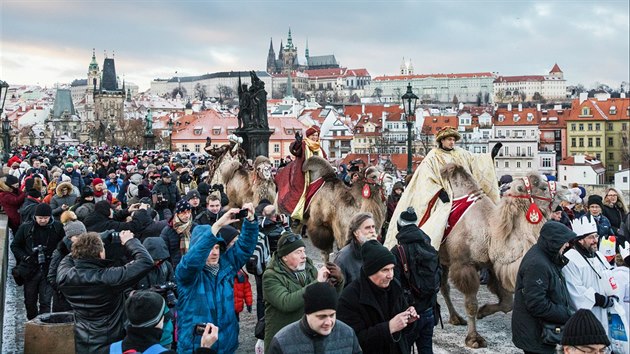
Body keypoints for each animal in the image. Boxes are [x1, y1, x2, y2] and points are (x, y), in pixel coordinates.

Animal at [440, 163, 572, 348]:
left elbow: (507, 303)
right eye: (543, 187)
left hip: (443, 259)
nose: (568, 188)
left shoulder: (491, 265)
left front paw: (483, 311)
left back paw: (455, 318)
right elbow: (471, 304)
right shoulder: (464, 265)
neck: (489, 231)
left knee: (444, 287)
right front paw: (474, 339)